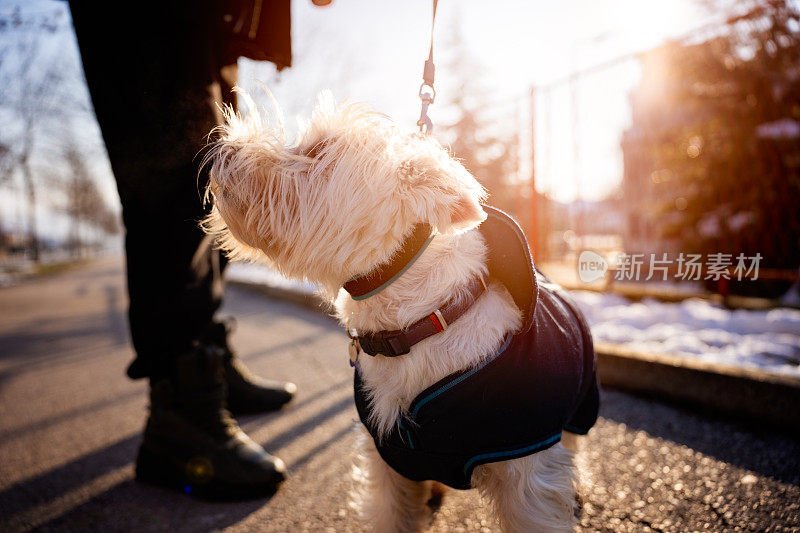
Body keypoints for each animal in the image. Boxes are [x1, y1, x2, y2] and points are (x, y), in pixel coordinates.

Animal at [203, 93, 596, 528]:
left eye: (318, 150)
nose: (224, 146)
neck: (411, 325)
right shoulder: (387, 460)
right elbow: (394, 514)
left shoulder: (525, 468)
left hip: (582, 406)